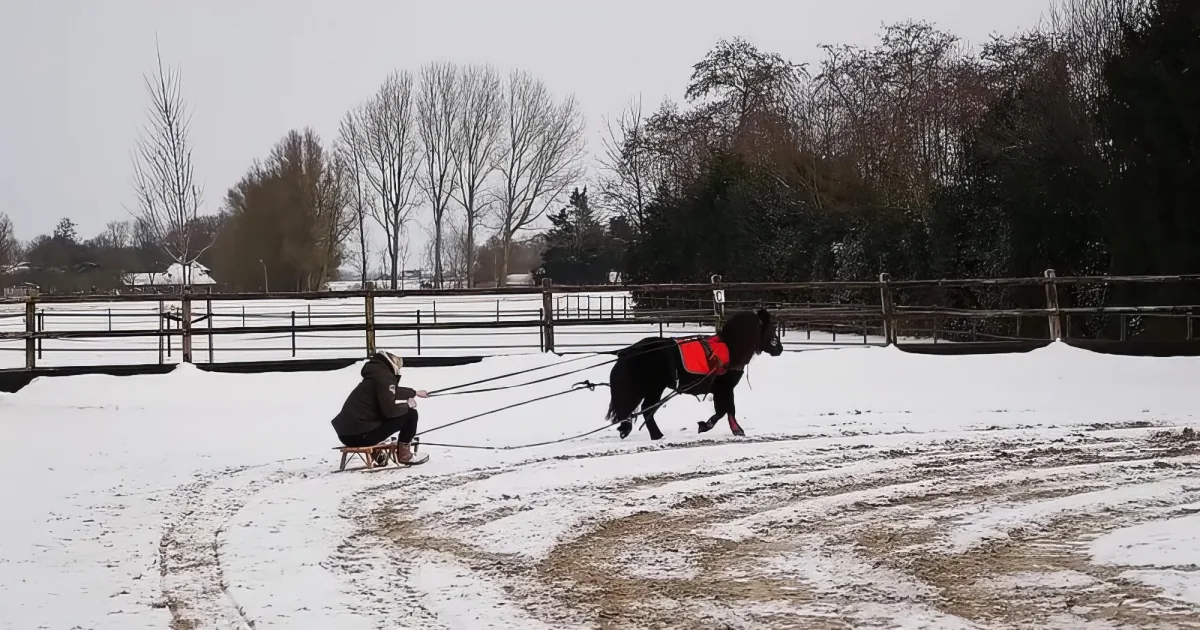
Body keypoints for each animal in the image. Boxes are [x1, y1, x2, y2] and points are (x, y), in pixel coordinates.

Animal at [604, 308, 783, 441]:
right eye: (770, 328)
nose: (779, 348)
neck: (730, 348)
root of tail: (626, 352)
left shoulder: (722, 389)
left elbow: (726, 409)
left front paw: (732, 429)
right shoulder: (724, 387)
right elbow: (725, 410)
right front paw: (711, 426)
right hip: (654, 388)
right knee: (647, 409)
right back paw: (656, 435)